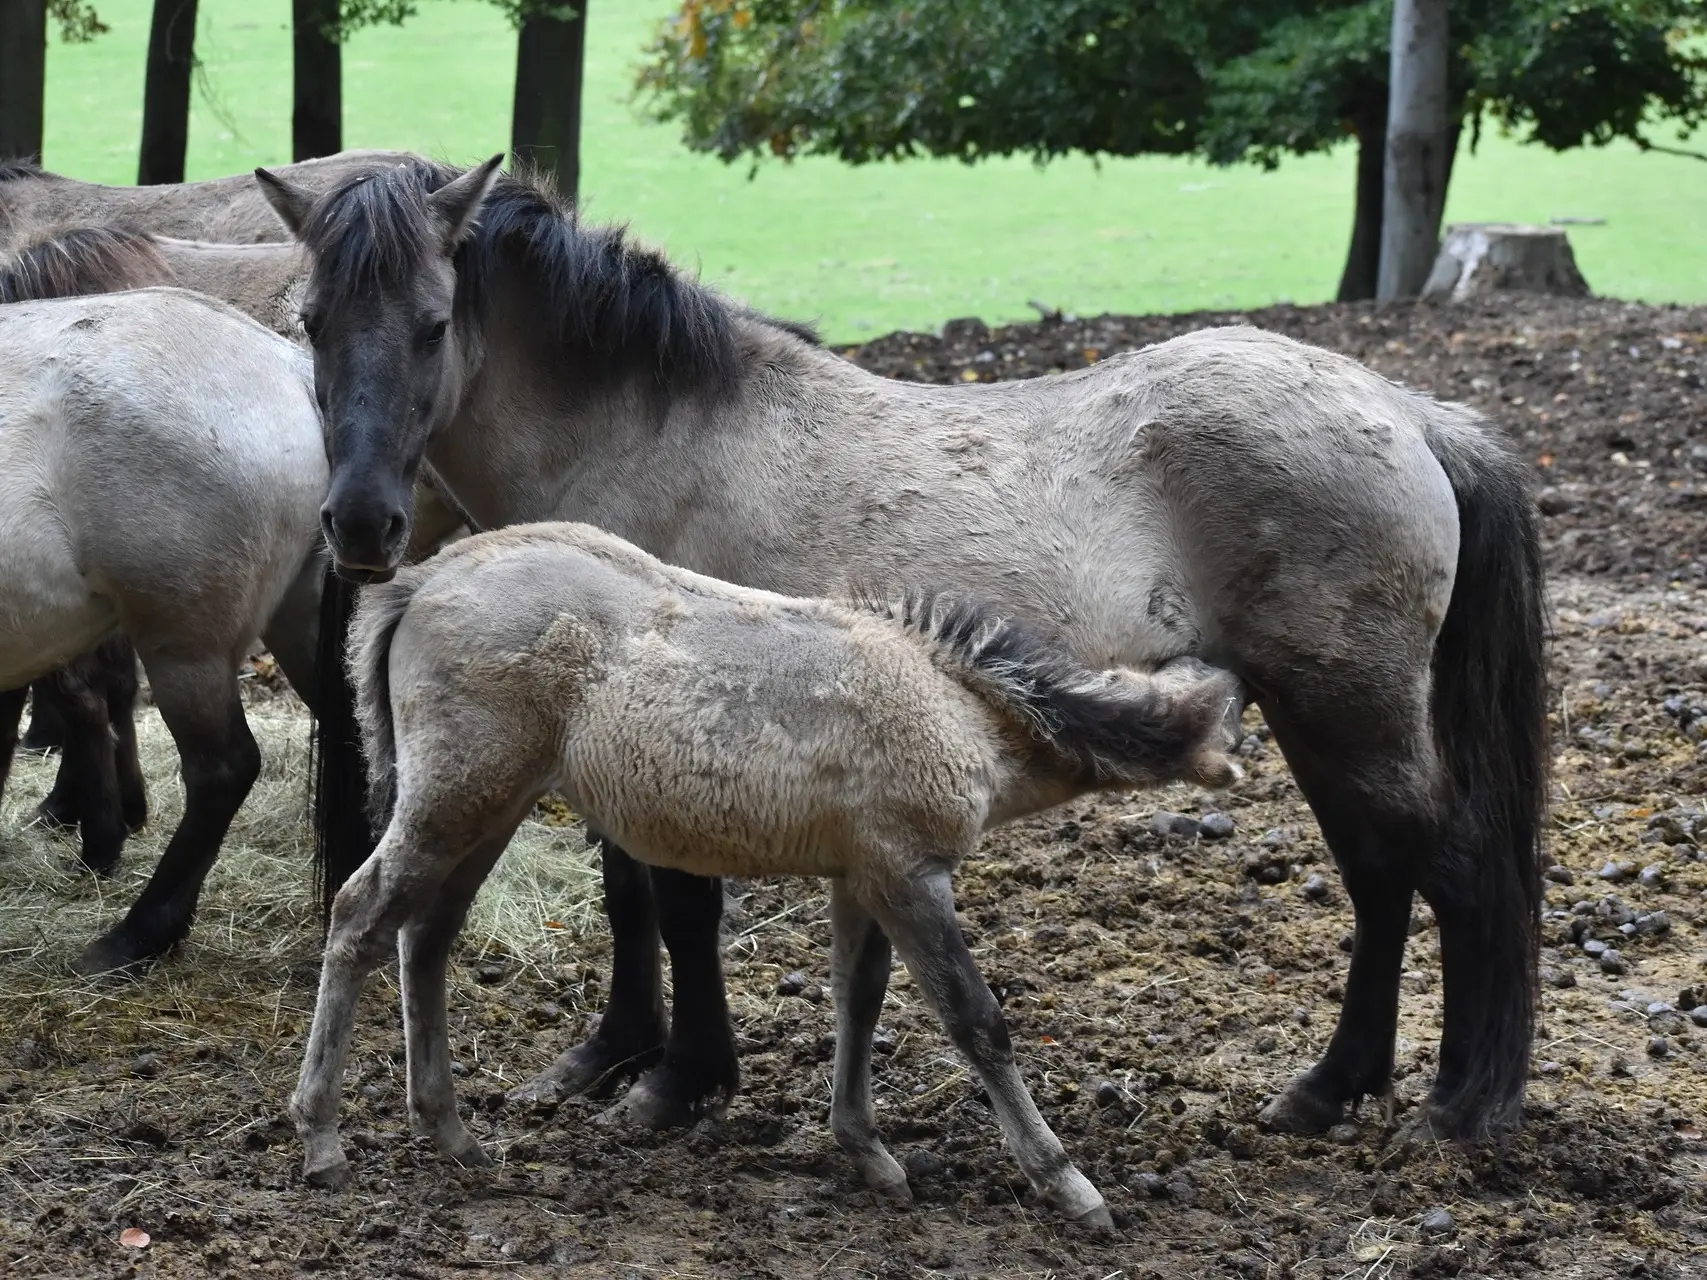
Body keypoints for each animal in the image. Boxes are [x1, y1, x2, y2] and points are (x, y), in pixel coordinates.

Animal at [297, 522, 1242, 1235]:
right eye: (1232, 719)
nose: (1239, 775)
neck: (957, 706)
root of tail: (424, 578)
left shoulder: (860, 877)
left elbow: (856, 1002)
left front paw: (868, 1153)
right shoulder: (910, 875)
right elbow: (977, 1019)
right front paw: (1067, 1184)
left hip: (488, 808)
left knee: (426, 935)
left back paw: (452, 1134)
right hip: (457, 796)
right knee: (360, 914)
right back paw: (321, 1140)